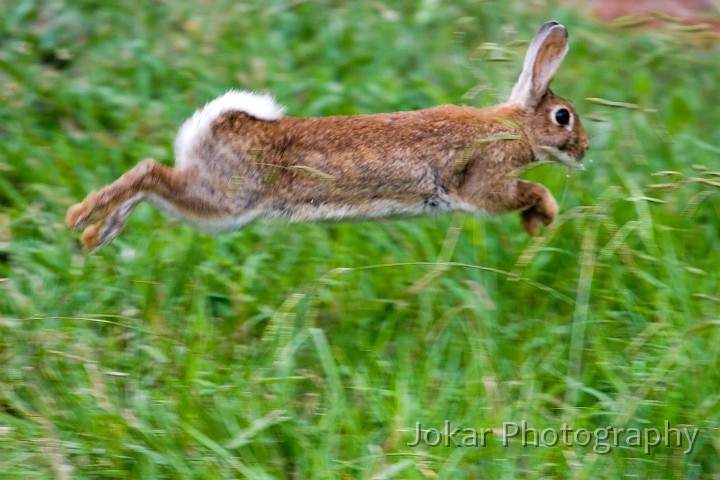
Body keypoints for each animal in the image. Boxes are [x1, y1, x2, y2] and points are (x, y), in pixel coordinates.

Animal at [66, 19, 584, 251]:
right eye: (563, 116)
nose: (584, 150)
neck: (515, 127)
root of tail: (217, 124)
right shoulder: (486, 183)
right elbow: (524, 190)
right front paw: (545, 216)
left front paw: (537, 226)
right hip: (225, 202)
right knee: (149, 173)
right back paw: (81, 218)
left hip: (212, 204)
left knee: (152, 185)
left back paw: (97, 234)